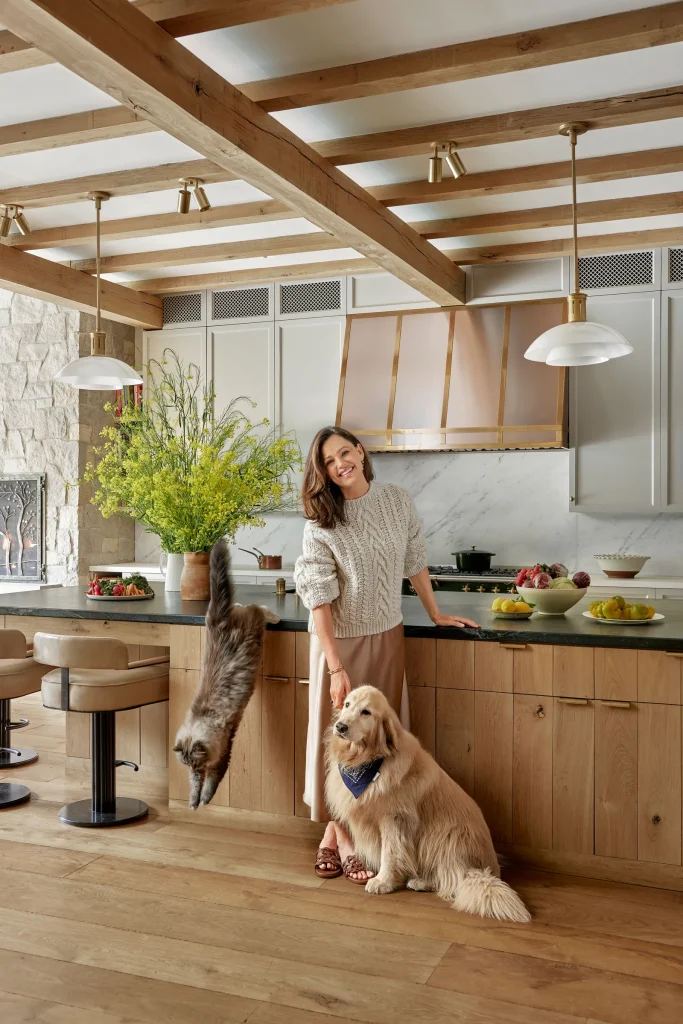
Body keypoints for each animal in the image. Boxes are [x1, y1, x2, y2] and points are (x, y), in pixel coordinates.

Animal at [175, 536, 278, 806]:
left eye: (195, 762)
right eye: (186, 764)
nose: (194, 768)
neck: (203, 717)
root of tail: (217, 619)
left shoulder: (221, 755)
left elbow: (210, 785)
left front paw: (203, 801)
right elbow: (195, 787)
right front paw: (193, 803)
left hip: (254, 624)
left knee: (257, 607)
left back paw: (274, 617)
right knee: (243, 604)